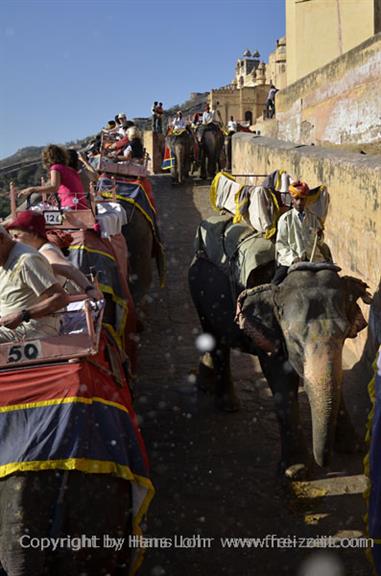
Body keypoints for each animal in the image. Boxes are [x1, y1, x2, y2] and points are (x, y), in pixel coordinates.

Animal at [189, 250, 370, 474]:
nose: (327, 465)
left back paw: (206, 383)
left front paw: (353, 448)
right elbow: (280, 378)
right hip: (198, 291)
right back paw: (228, 406)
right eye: (293, 339)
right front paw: (296, 471)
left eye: (345, 334)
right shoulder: (267, 330)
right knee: (214, 338)